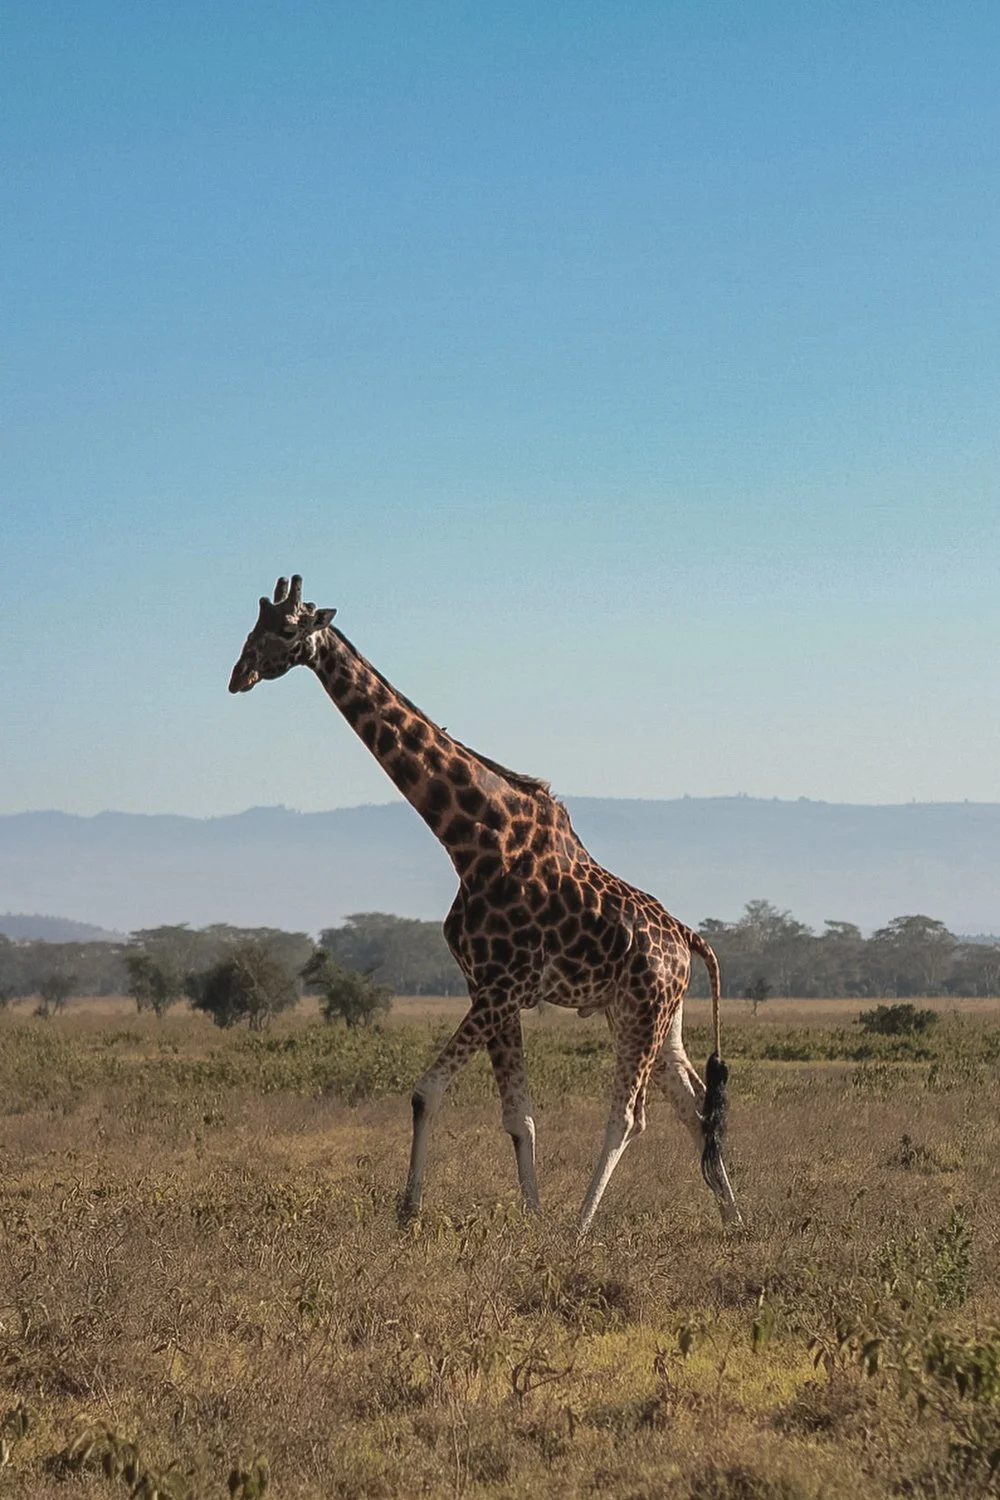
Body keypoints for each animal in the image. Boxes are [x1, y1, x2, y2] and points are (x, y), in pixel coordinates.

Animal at [229, 576, 740, 1235]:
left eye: (287, 629)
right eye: (253, 625)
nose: (238, 674)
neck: (469, 838)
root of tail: (689, 939)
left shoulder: (503, 985)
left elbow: (425, 1091)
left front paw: (410, 1213)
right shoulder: (488, 987)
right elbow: (517, 1115)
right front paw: (528, 1215)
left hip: (645, 1010)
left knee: (630, 1118)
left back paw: (581, 1229)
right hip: (650, 1013)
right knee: (697, 1107)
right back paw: (735, 1221)